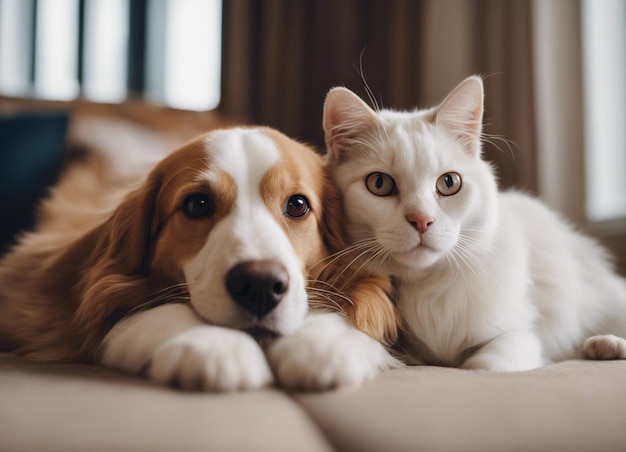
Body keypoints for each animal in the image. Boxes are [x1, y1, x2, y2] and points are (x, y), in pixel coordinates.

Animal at [322, 75, 624, 370]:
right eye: (379, 183)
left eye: (449, 183)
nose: (422, 220)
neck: (425, 292)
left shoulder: (518, 334)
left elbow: (484, 366)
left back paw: (607, 344)